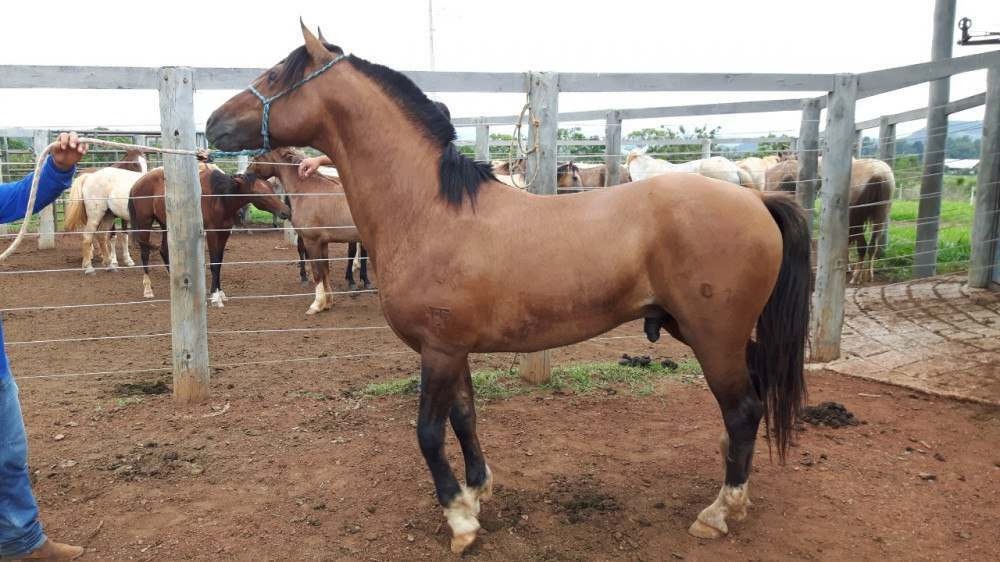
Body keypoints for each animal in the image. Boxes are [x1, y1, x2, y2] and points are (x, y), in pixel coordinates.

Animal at [128, 164, 290, 304]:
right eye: (259, 192)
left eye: (271, 188)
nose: (286, 211)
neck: (219, 197)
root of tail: (137, 183)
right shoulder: (212, 233)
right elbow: (214, 263)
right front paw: (215, 296)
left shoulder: (224, 233)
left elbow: (219, 262)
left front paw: (220, 292)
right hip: (145, 223)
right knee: (145, 253)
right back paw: (148, 289)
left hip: (165, 224)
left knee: (163, 250)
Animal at [248, 148, 374, 316]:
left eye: (257, 156)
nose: (246, 174)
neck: (307, 190)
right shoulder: (323, 243)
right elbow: (325, 271)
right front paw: (328, 303)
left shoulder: (312, 241)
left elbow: (317, 273)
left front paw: (316, 305)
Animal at [760, 155, 896, 282]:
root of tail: (878, 175)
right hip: (881, 214)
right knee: (872, 245)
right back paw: (867, 274)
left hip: (859, 218)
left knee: (862, 245)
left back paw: (856, 275)